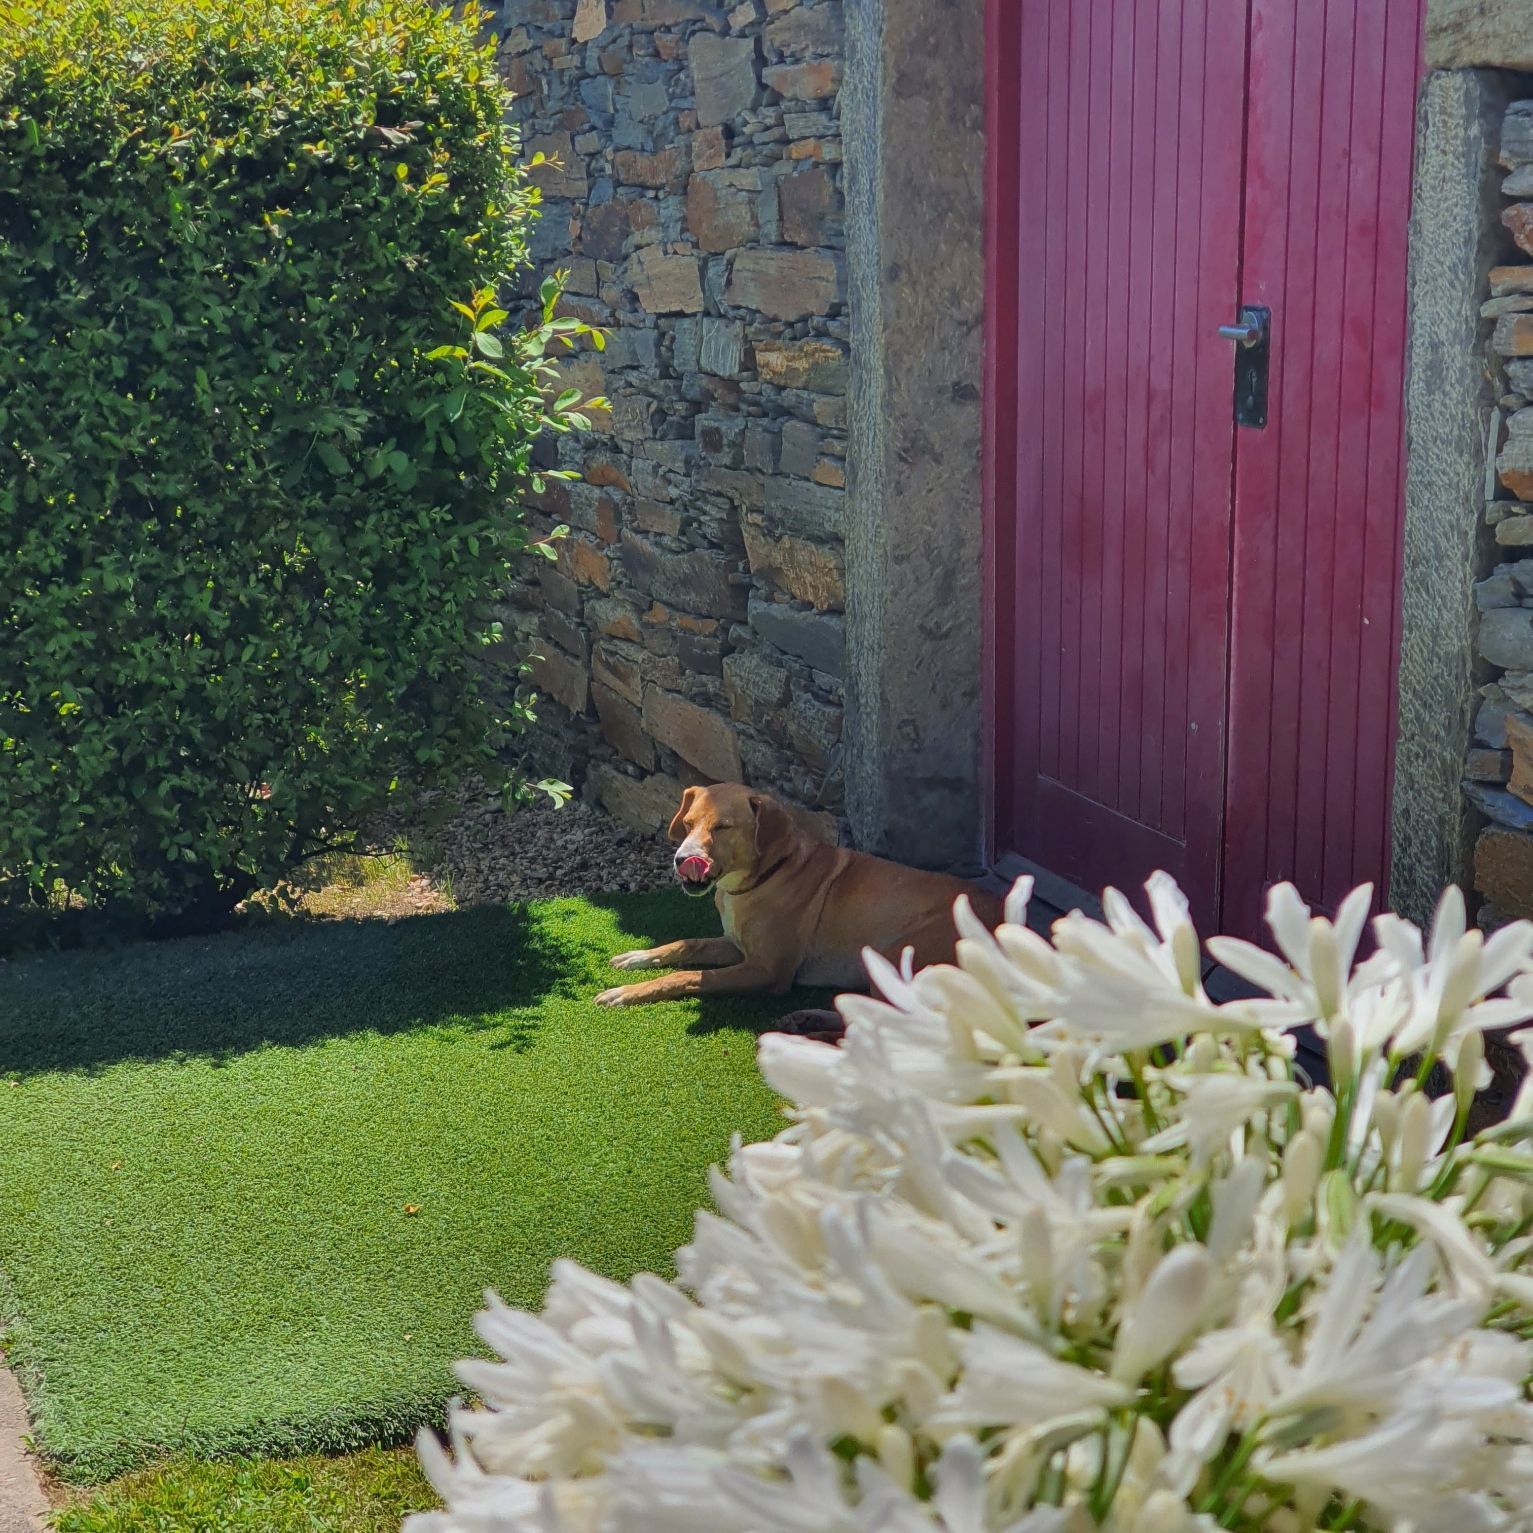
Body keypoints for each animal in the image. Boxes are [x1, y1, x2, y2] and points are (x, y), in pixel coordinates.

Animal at [594, 782, 1004, 1009]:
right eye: (690, 823)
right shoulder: (736, 945)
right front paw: (638, 956)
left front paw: (626, 992)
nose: (682, 860)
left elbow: (691, 976)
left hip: (894, 955)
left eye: (723, 827)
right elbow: (686, 943)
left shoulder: (766, 971)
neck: (766, 876)